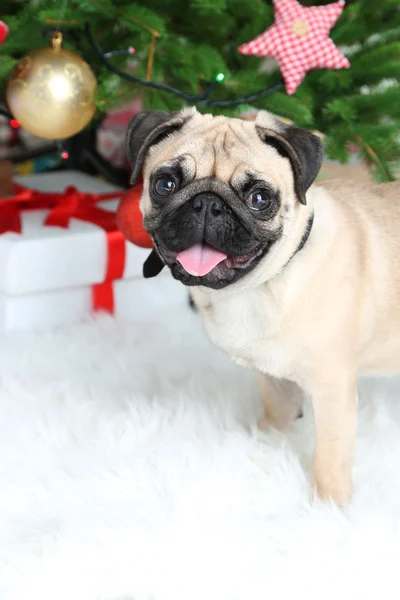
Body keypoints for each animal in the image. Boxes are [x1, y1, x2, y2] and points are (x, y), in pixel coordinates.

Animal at [121, 105, 400, 504]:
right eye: (166, 185)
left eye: (259, 199)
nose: (208, 204)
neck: (255, 288)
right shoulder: (273, 376)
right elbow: (278, 414)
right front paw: (264, 445)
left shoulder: (333, 390)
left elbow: (330, 454)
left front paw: (329, 505)